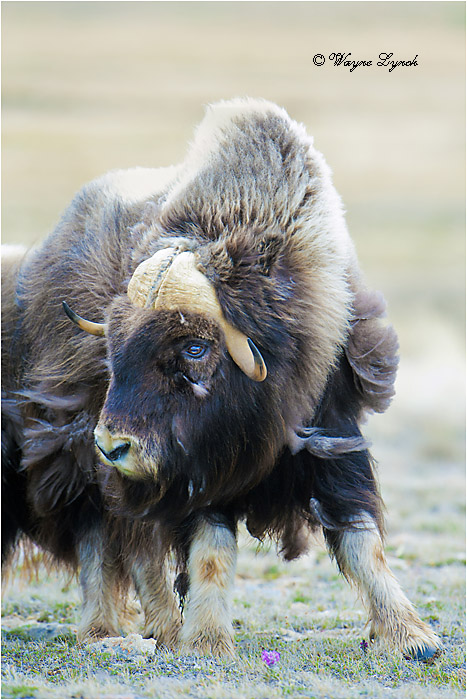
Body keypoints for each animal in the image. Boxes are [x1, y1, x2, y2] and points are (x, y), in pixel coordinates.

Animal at [2, 98, 441, 661]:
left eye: (194, 346)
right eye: (112, 350)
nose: (113, 446)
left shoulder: (333, 436)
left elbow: (363, 540)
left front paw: (413, 638)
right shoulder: (194, 469)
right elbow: (210, 549)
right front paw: (208, 643)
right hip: (83, 465)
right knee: (110, 542)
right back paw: (120, 632)